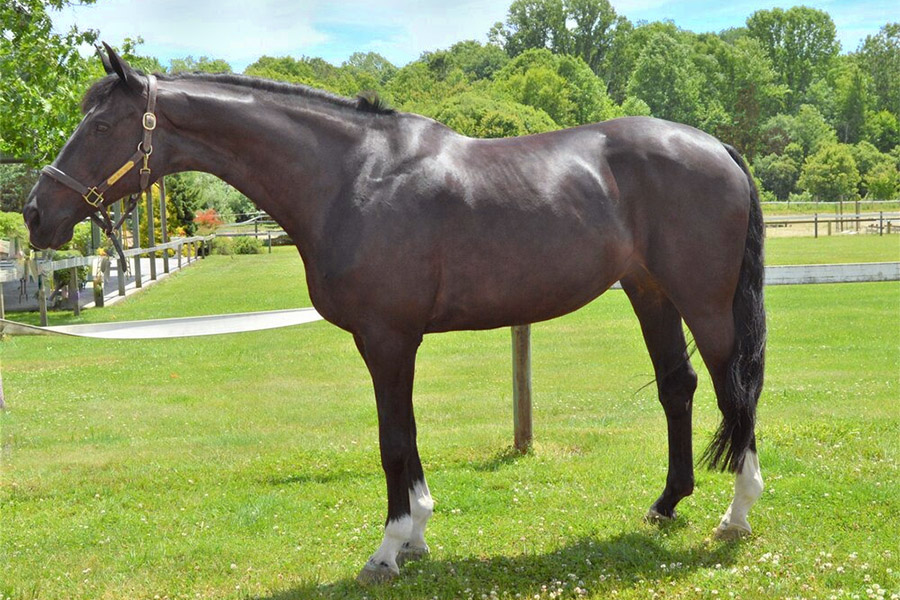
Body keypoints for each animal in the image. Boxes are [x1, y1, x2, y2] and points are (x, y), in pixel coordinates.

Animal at [24, 44, 766, 584]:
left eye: (101, 125)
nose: (35, 213)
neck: (353, 177)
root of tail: (717, 148)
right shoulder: (394, 342)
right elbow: (406, 437)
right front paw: (417, 535)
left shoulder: (386, 340)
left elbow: (391, 441)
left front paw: (388, 551)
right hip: (649, 291)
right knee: (679, 388)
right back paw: (666, 504)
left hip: (703, 301)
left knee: (736, 392)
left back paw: (735, 515)